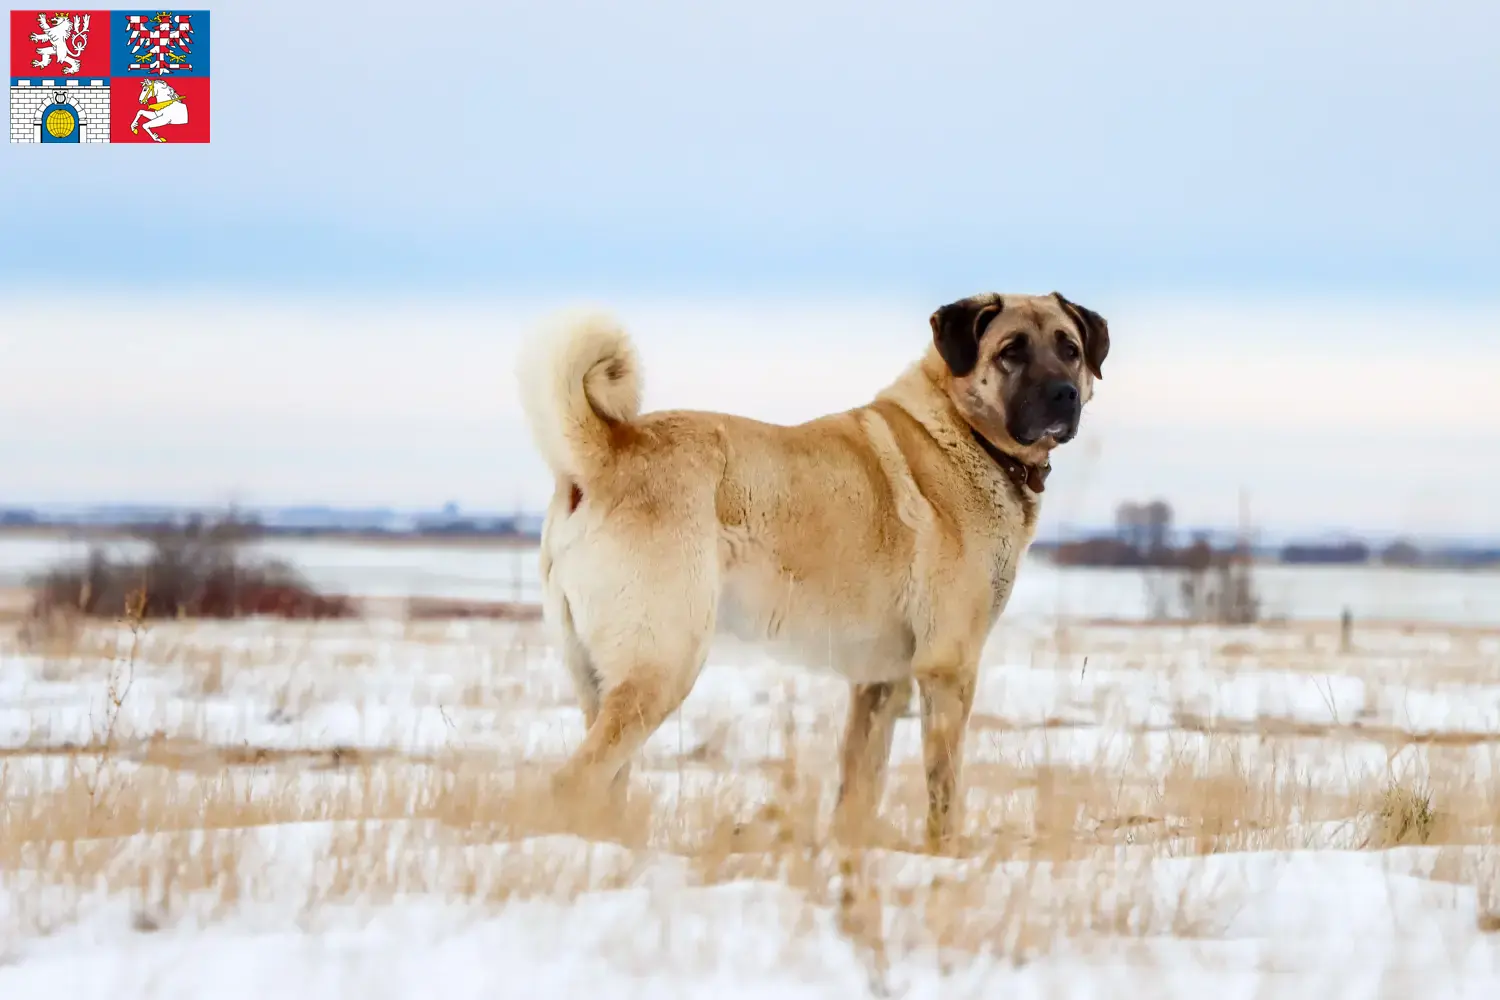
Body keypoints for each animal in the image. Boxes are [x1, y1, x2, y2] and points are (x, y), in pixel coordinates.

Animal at [516, 293, 1104, 851]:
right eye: (1011, 352)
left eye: (1070, 349)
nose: (1064, 396)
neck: (963, 429)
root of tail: (607, 453)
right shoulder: (948, 667)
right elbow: (944, 787)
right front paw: (948, 855)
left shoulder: (879, 681)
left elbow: (859, 786)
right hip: (661, 668)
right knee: (575, 780)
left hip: (603, 681)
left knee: (607, 783)